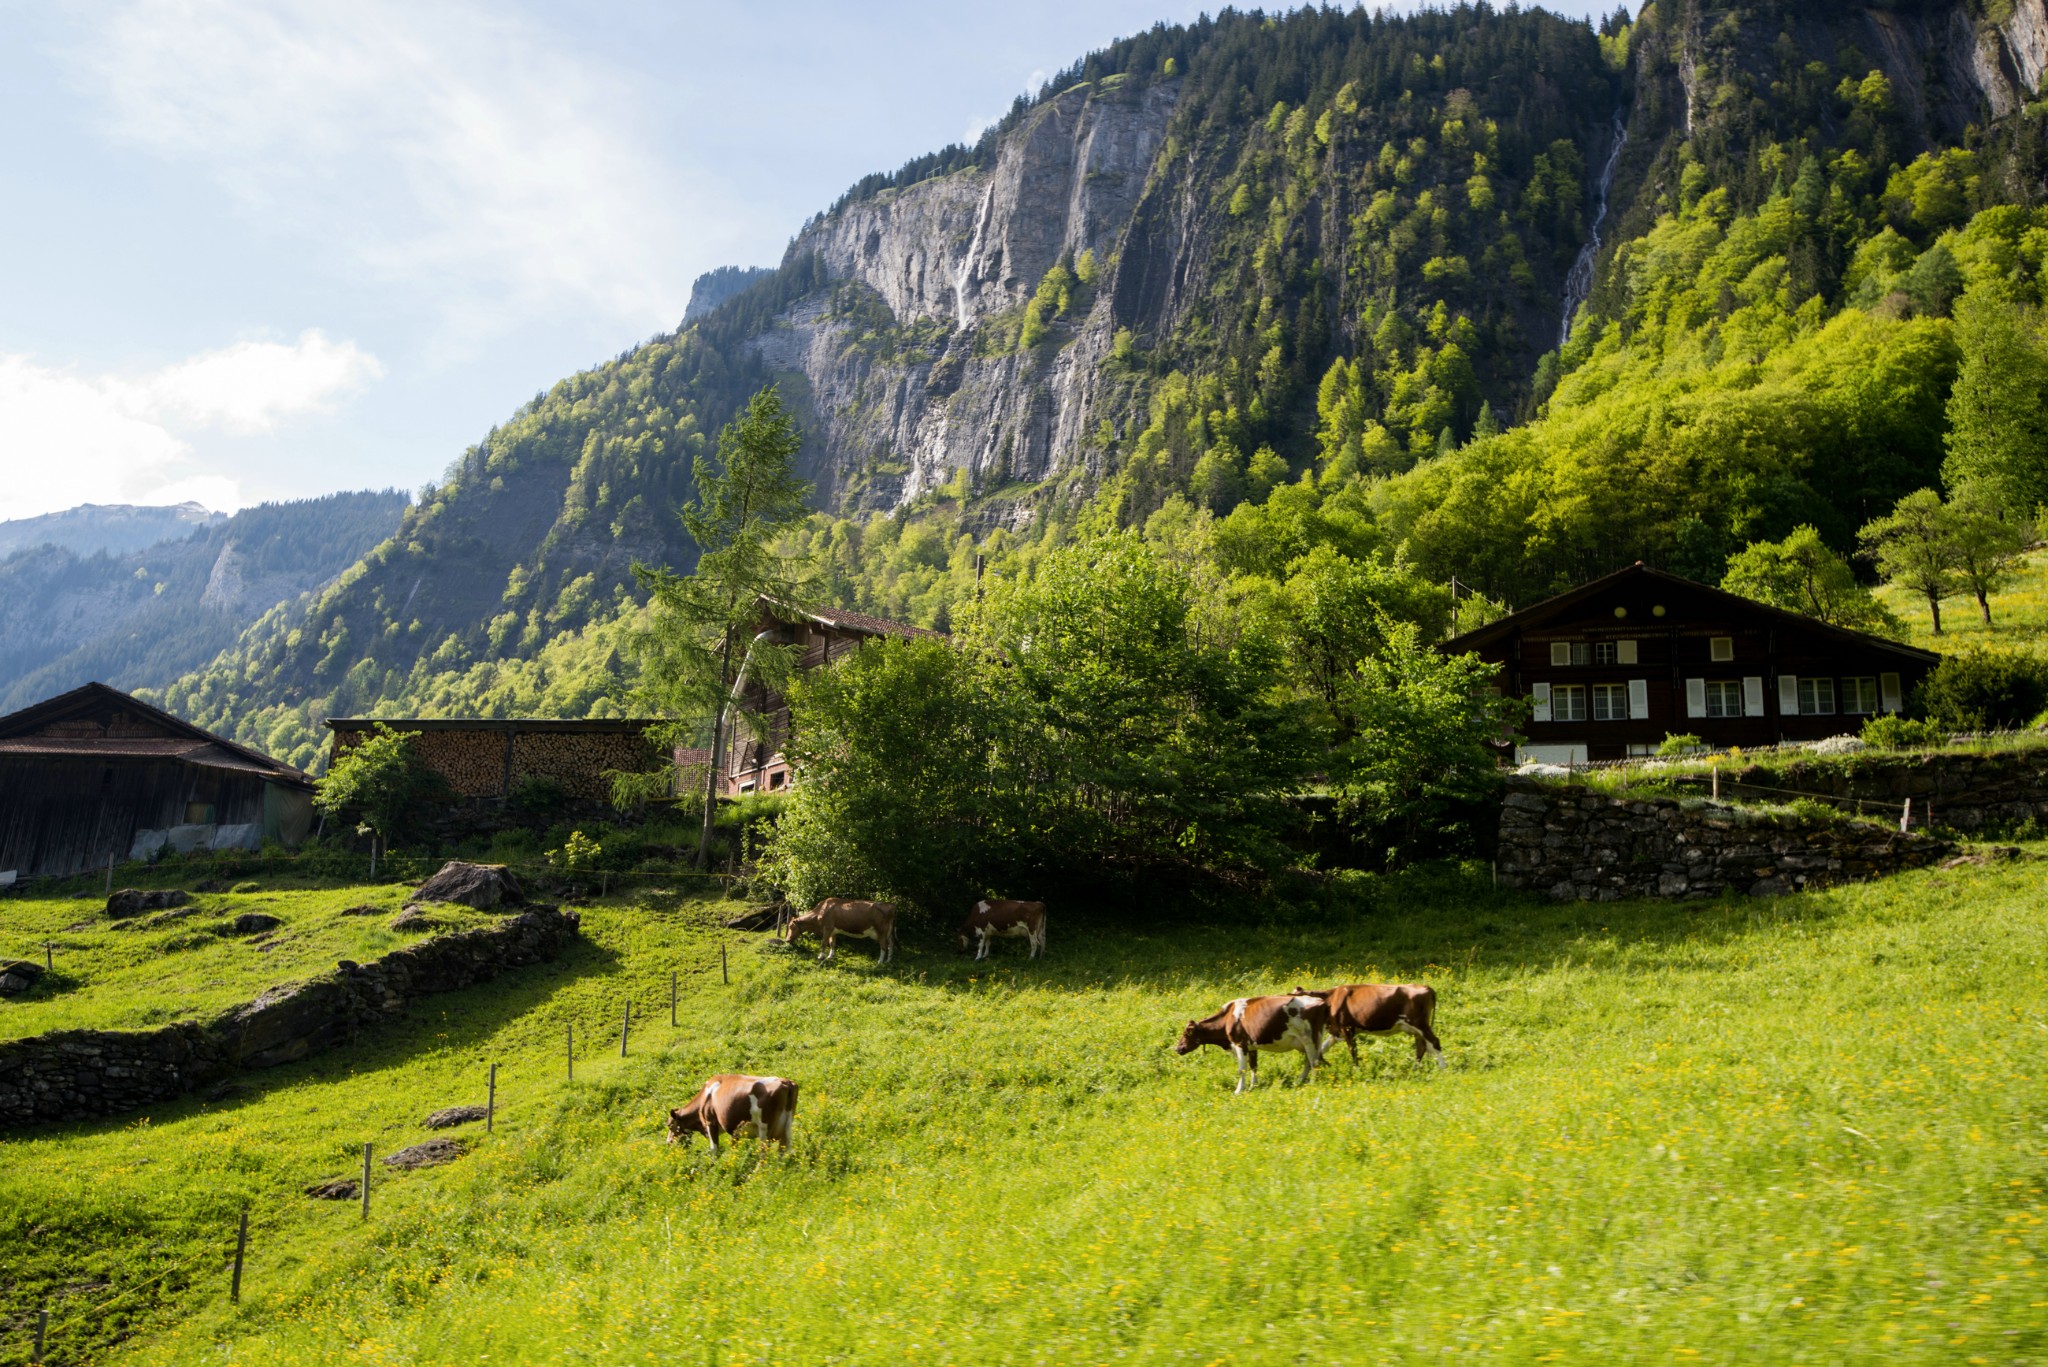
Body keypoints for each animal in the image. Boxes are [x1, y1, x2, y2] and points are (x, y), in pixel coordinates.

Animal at [1179, 987, 1335, 1098]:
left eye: (1187, 1033)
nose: (1178, 1048)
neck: (1228, 1018)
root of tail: (1321, 1002)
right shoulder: (1251, 1046)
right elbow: (1254, 1066)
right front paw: (1253, 1086)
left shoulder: (1240, 1044)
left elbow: (1242, 1069)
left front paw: (1239, 1090)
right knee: (1309, 1062)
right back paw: (1299, 1081)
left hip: (1309, 1039)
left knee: (1313, 1062)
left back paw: (1312, 1083)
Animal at [1294, 983, 1441, 1065]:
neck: (1331, 998)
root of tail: (1426, 987)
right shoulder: (1338, 1029)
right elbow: (1322, 1048)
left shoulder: (1347, 1028)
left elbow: (1353, 1051)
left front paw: (1357, 1070)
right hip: (1417, 1028)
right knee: (1422, 1047)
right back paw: (1414, 1069)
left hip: (1419, 1023)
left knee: (1434, 1042)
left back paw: (1442, 1070)